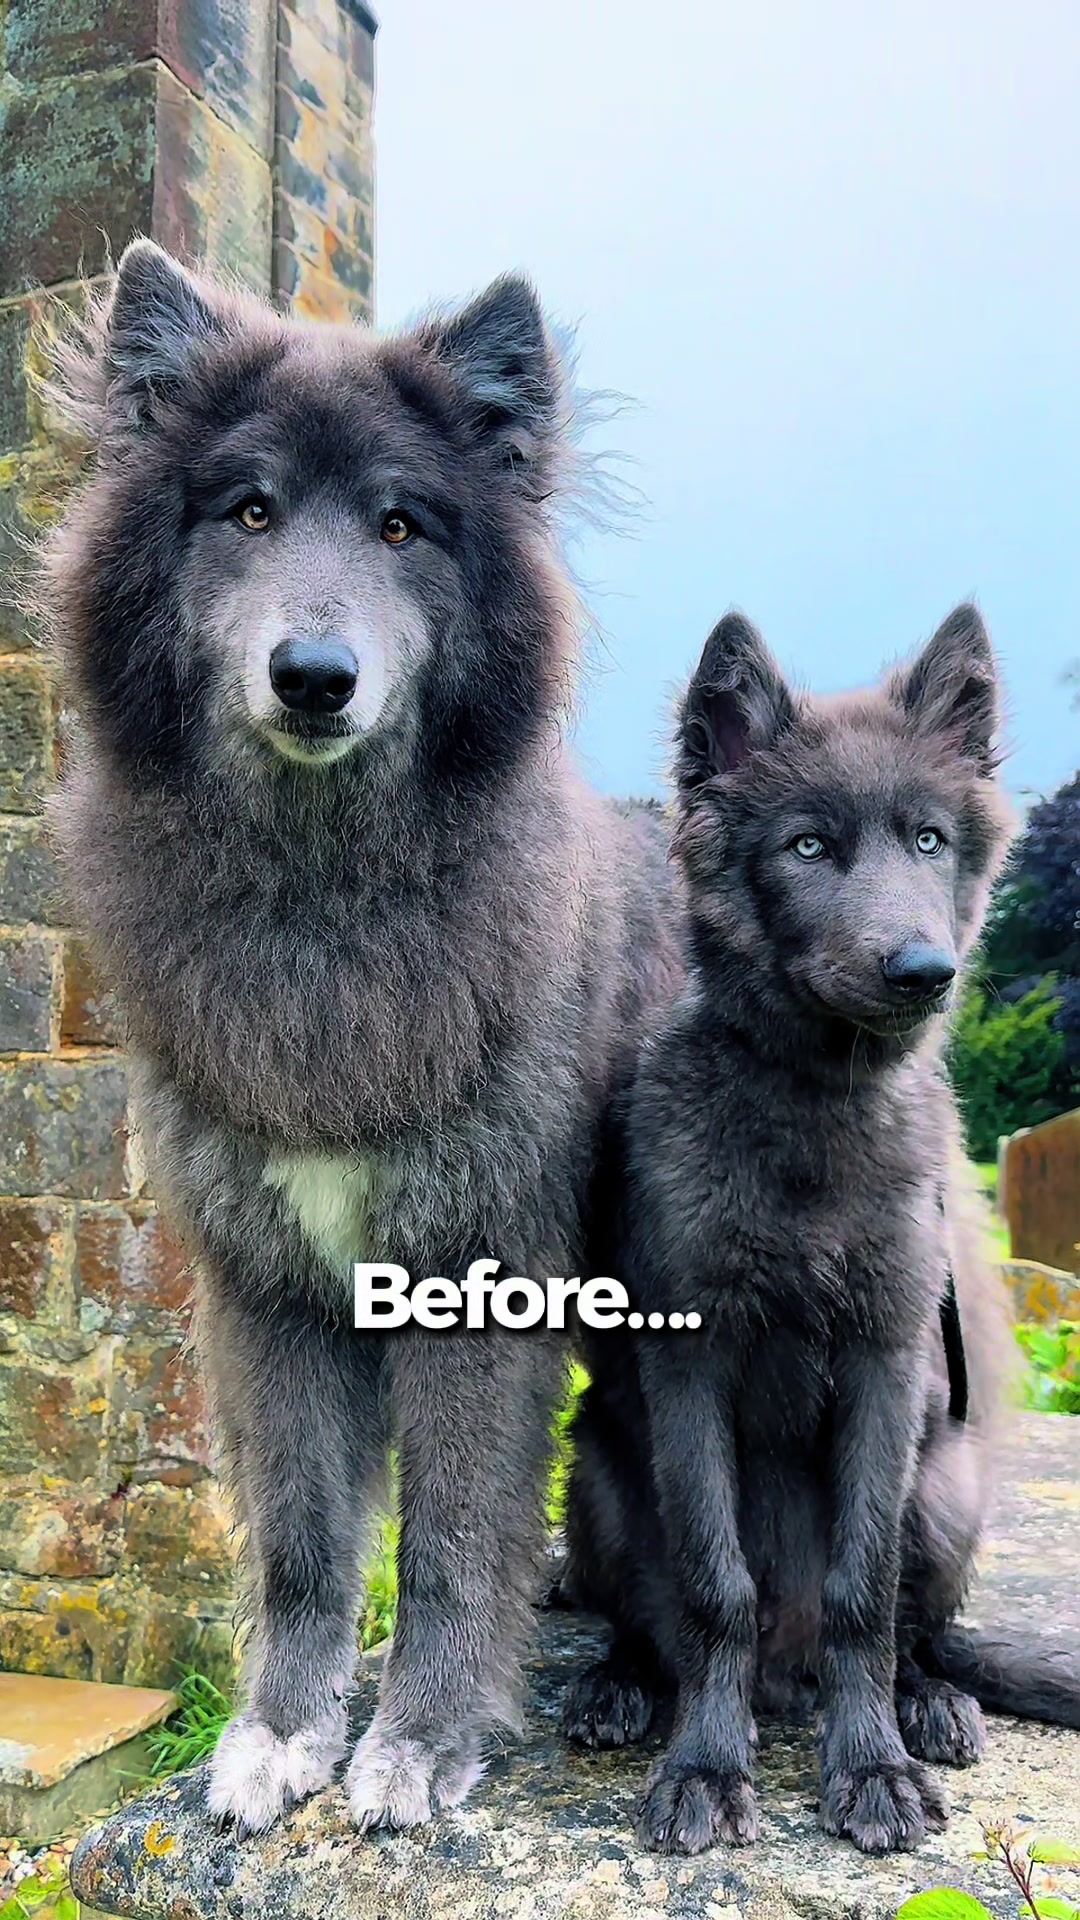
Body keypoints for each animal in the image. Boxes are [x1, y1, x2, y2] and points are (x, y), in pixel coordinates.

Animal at [39, 240, 683, 1836]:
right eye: (251, 511)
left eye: (401, 525)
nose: (314, 674)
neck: (325, 899)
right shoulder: (266, 1292)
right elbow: (301, 1539)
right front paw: (280, 1733)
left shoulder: (475, 1277)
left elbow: (450, 1537)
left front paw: (419, 1743)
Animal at [558, 605, 1080, 1856]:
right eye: (806, 847)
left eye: (930, 839)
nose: (925, 971)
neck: (810, 1112)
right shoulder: (689, 1368)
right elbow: (717, 1588)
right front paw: (707, 1765)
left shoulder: (888, 1364)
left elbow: (860, 1593)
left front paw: (871, 1765)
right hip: (596, 1467)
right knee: (651, 1620)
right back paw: (621, 1685)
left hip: (949, 1480)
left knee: (917, 1633)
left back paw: (928, 1701)